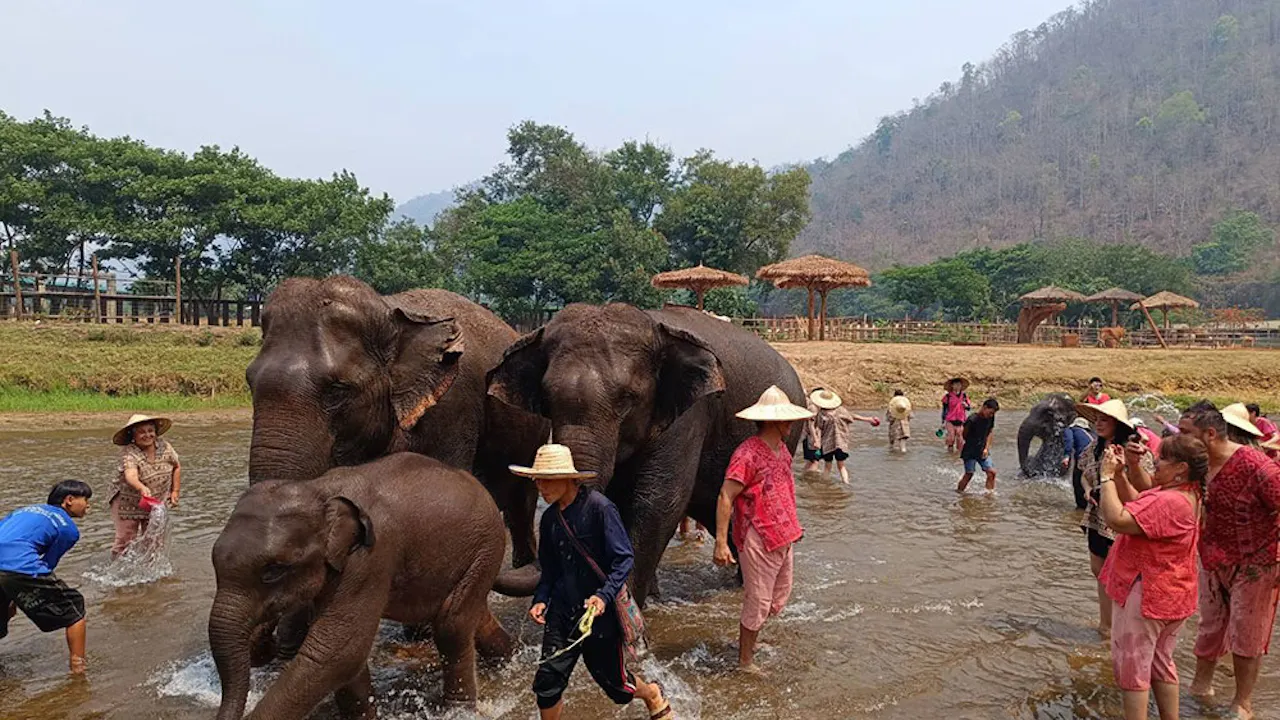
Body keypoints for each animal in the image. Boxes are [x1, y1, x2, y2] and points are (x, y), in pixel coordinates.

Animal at [209, 453, 539, 720]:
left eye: (273, 571)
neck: (320, 490)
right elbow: (344, 657)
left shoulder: (370, 559)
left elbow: (338, 650)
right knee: (471, 616)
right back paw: (513, 659)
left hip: (486, 545)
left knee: (452, 625)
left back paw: (457, 710)